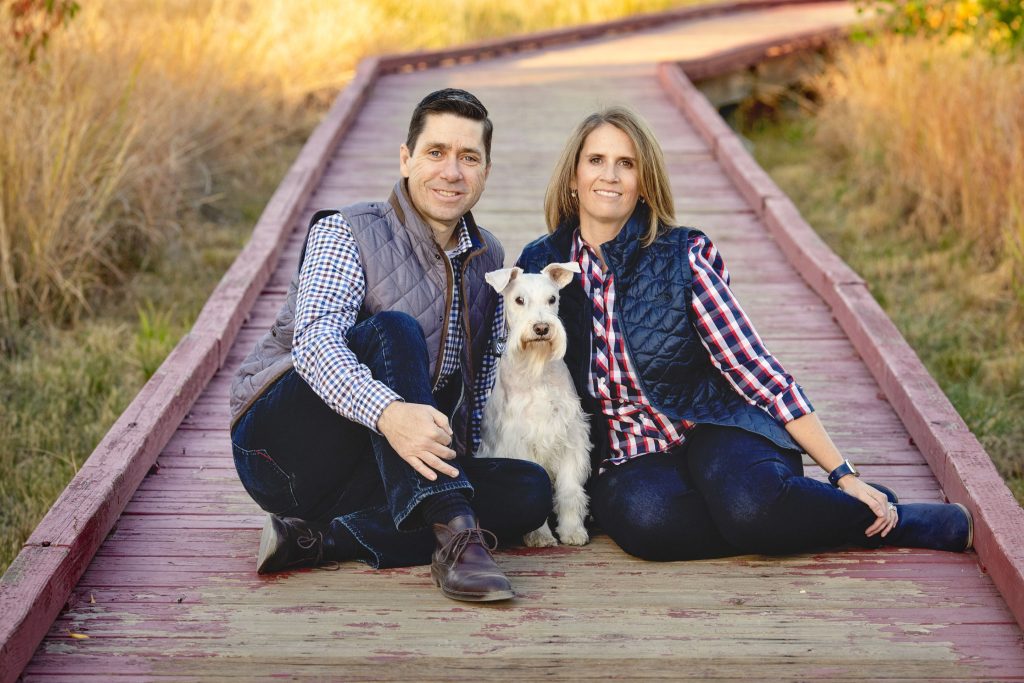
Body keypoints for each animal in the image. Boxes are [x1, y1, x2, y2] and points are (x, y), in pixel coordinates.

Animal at [475, 264, 589, 548]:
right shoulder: (520, 443)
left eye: (552, 299)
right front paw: (540, 536)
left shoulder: (570, 437)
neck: (536, 369)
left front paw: (573, 531)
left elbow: (570, 490)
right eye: (519, 300)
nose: (541, 328)